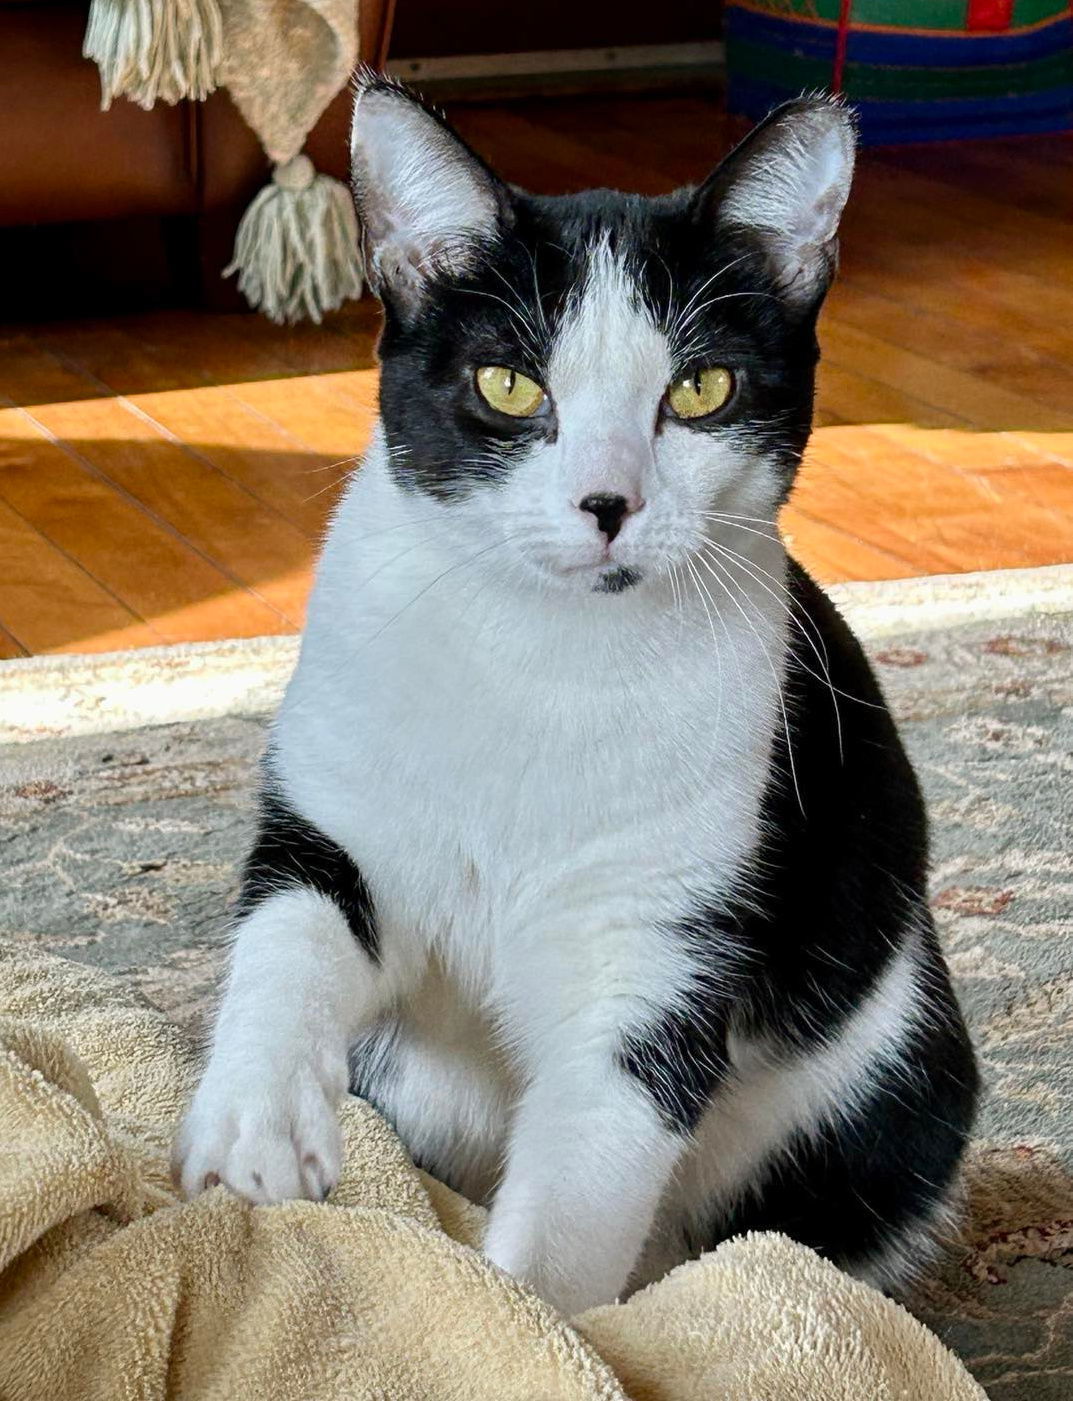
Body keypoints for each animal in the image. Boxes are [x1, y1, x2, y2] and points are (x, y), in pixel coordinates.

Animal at [176, 76, 986, 1316]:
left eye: (700, 387)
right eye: (509, 383)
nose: (608, 501)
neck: (544, 661)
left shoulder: (658, 940)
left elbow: (585, 1182)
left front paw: (526, 1321)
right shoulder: (339, 818)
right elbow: (291, 941)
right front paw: (255, 1129)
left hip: (895, 1082)